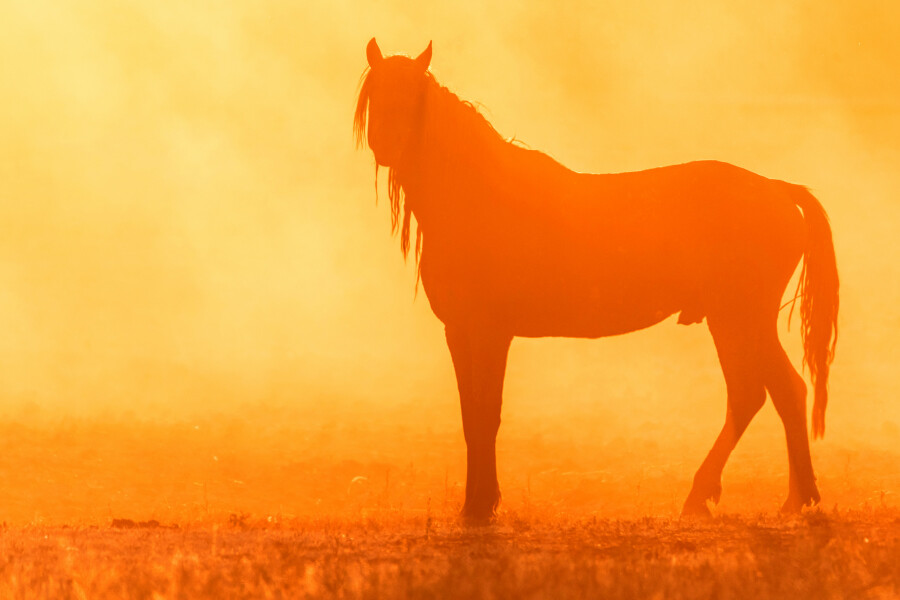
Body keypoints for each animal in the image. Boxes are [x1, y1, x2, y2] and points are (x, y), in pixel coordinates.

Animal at [354, 39, 839, 521]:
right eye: (376, 94)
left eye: (415, 96)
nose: (387, 147)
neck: (479, 196)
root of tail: (777, 189)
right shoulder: (459, 331)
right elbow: (470, 417)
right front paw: (476, 503)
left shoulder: (491, 332)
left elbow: (486, 414)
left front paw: (481, 503)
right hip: (743, 322)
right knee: (781, 392)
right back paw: (793, 496)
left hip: (739, 320)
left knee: (757, 394)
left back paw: (717, 494)